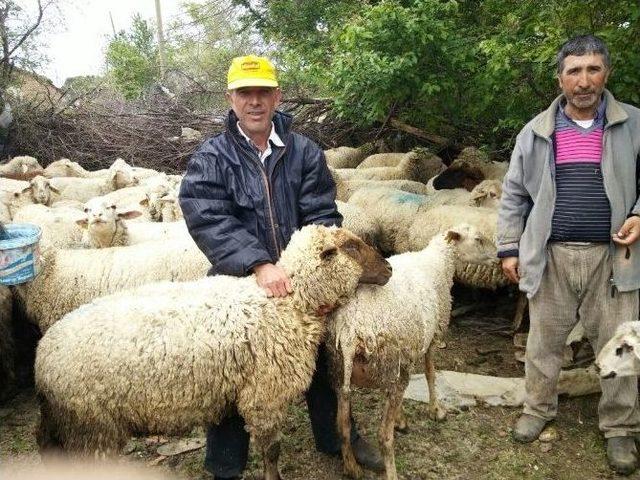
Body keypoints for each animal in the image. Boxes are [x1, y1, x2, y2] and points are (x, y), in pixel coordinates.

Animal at [37, 225, 392, 480]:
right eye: (351, 247)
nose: (388, 268)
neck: (290, 303)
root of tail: (43, 357)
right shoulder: (264, 398)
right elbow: (272, 453)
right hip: (93, 427)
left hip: (70, 428)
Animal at [324, 226, 496, 480]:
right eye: (478, 239)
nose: (498, 256)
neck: (439, 263)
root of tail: (349, 332)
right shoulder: (433, 336)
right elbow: (430, 373)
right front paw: (436, 411)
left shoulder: (402, 354)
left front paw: (400, 418)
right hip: (387, 366)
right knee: (383, 437)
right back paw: (391, 471)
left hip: (341, 373)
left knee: (343, 426)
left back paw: (351, 467)